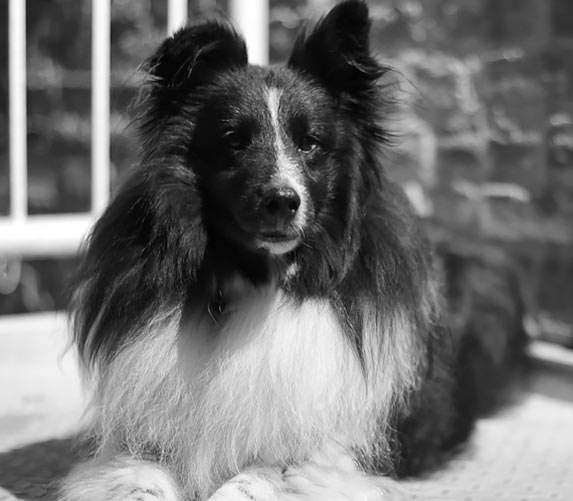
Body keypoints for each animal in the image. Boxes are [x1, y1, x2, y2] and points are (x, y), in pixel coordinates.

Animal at [60, 1, 524, 498]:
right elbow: (139, 474)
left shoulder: (335, 447)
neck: (263, 278)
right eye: (234, 139)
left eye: (310, 142)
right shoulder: (141, 432)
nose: (282, 201)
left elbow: (264, 473)